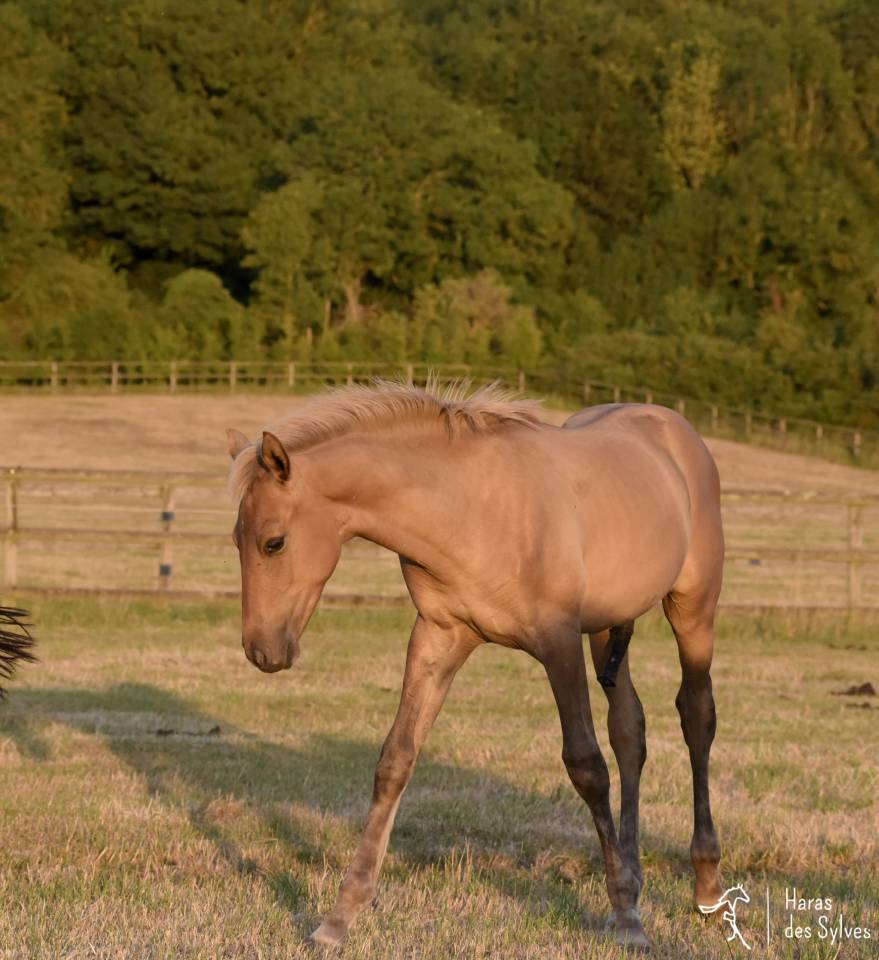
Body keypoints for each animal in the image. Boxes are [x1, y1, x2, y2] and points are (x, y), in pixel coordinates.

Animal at [227, 381, 725, 950]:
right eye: (236, 540)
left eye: (274, 542)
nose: (262, 650)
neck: (470, 508)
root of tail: (674, 428)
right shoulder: (438, 637)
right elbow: (395, 761)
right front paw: (338, 918)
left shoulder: (558, 645)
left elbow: (586, 767)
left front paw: (626, 919)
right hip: (606, 628)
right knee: (630, 732)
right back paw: (636, 872)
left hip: (692, 611)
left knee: (696, 717)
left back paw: (706, 885)